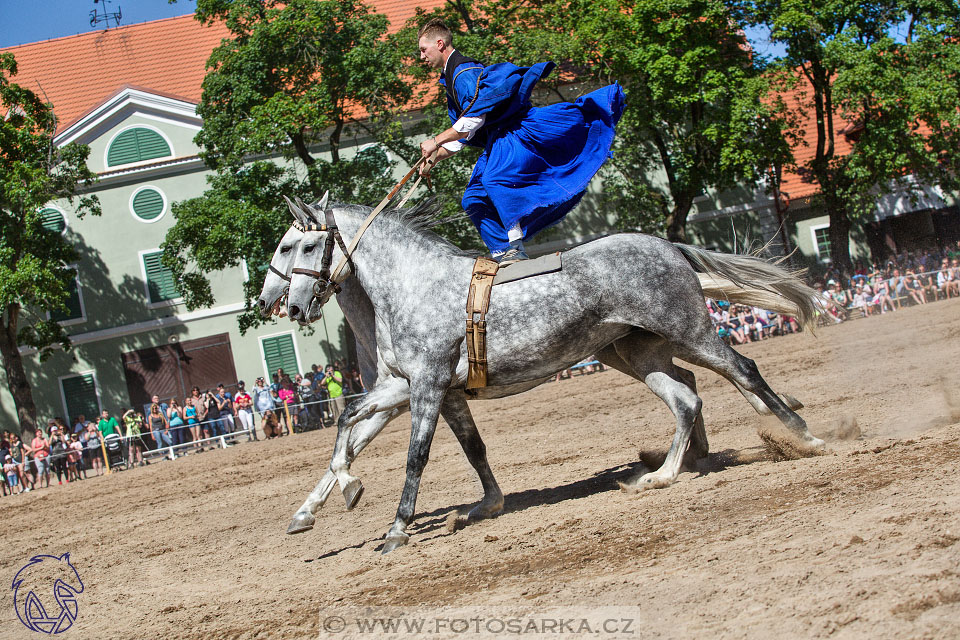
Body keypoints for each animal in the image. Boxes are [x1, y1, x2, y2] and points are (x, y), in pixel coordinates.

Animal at [276, 198, 816, 552]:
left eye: (299, 247)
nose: (289, 306)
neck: (412, 285)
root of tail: (666, 245)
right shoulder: (412, 386)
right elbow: (351, 421)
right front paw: (347, 490)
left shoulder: (427, 384)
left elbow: (415, 456)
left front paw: (396, 529)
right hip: (637, 352)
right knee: (687, 398)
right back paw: (661, 475)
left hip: (689, 330)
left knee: (743, 370)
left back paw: (802, 436)